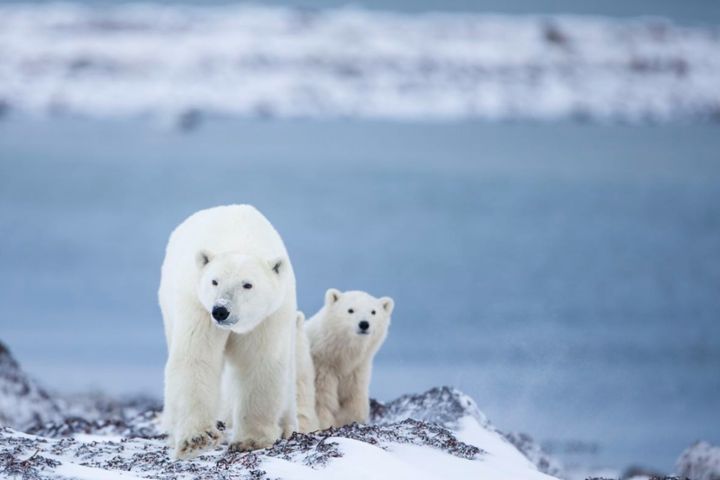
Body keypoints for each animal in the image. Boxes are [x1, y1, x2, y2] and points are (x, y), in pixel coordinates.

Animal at [159, 204, 296, 460]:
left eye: (247, 284)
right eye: (214, 281)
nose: (221, 310)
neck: (239, 238)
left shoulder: (268, 317)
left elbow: (260, 363)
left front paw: (251, 440)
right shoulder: (198, 306)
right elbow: (196, 358)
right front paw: (197, 440)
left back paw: (287, 427)